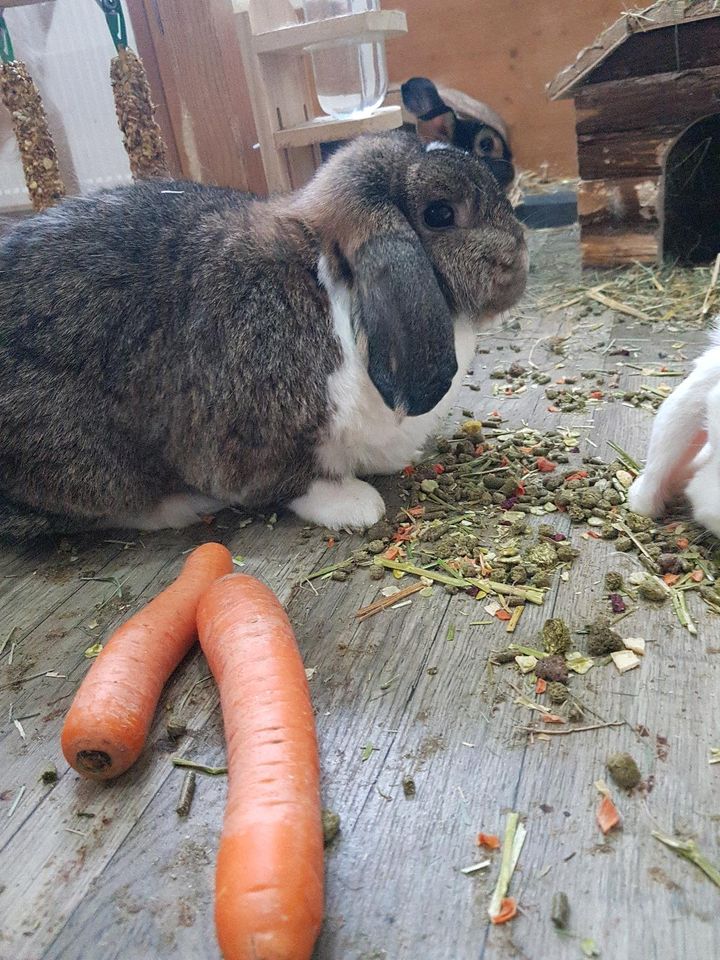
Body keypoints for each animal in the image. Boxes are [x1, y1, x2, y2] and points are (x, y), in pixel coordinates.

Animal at [0, 131, 528, 544]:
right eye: (440, 213)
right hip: (85, 464)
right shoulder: (255, 436)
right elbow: (296, 481)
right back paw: (180, 507)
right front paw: (356, 505)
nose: (521, 257)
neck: (332, 287)